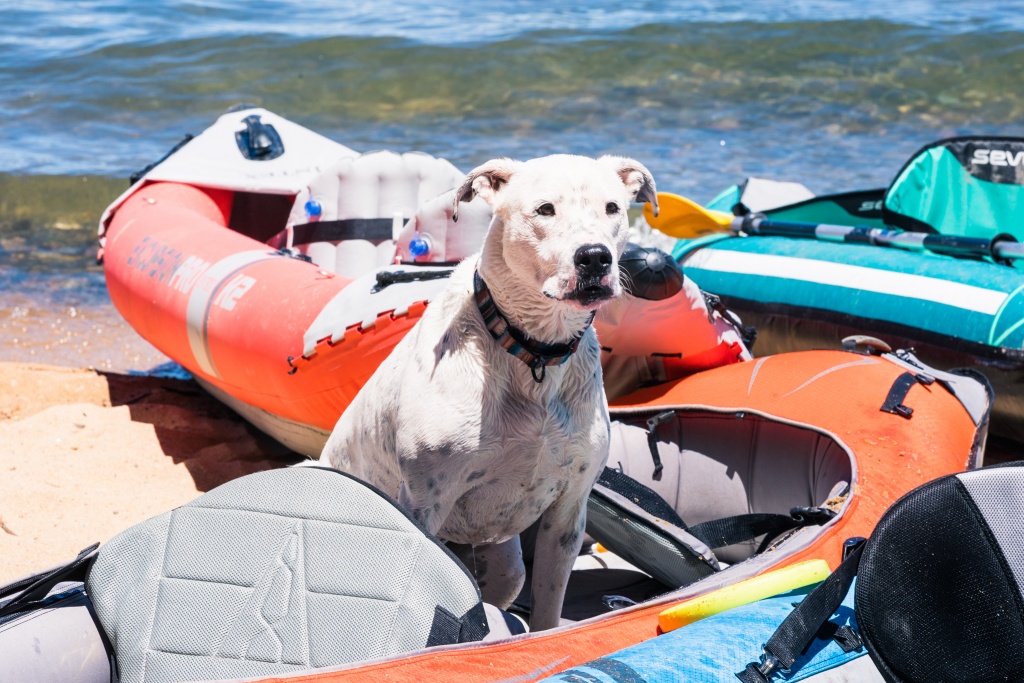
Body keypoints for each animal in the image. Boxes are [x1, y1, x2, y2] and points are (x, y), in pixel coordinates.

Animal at [317, 154, 655, 630]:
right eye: (544, 209)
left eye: (612, 208)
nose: (594, 257)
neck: (533, 352)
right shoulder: (425, 500)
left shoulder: (568, 511)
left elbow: (548, 609)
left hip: (507, 567)